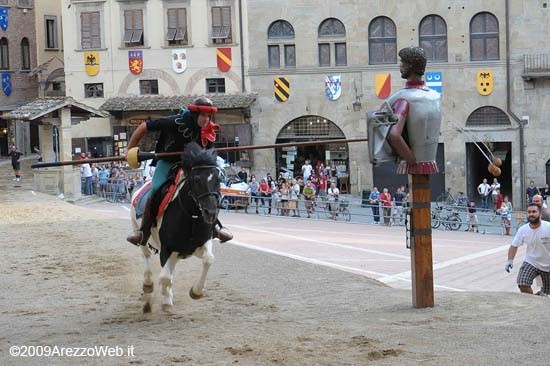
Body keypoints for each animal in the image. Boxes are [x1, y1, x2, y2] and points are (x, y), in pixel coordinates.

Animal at [130, 142, 222, 314]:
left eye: (218, 179)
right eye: (196, 179)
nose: (211, 212)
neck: (191, 216)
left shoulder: (199, 244)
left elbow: (209, 259)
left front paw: (196, 292)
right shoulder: (167, 249)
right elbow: (165, 277)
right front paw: (166, 301)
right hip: (140, 233)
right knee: (146, 255)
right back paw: (148, 285)